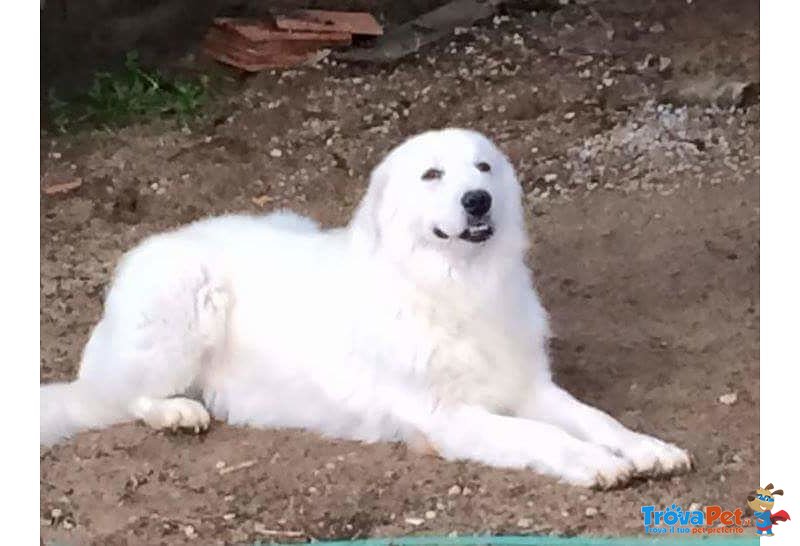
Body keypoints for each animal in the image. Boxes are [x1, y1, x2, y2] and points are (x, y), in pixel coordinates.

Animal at [39, 127, 688, 484]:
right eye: (433, 175)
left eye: (483, 168)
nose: (478, 200)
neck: (454, 285)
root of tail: (152, 246)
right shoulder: (448, 417)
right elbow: (543, 437)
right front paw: (597, 463)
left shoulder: (529, 388)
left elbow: (597, 420)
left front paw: (648, 449)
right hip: (184, 298)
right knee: (119, 396)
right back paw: (177, 412)